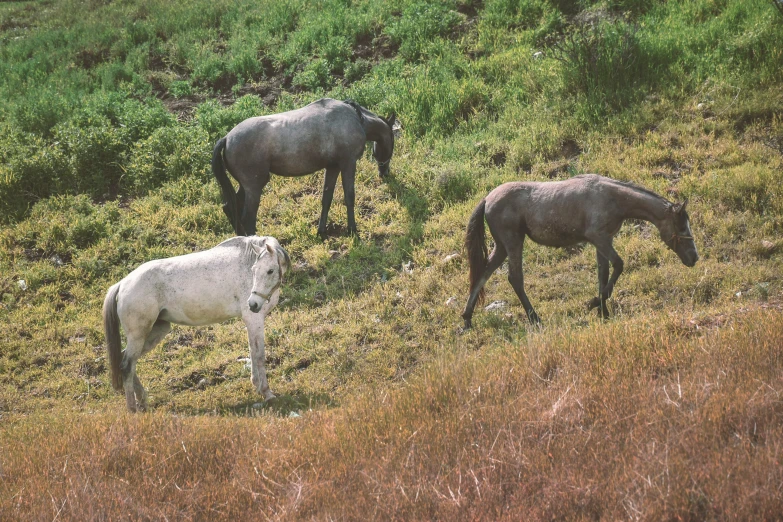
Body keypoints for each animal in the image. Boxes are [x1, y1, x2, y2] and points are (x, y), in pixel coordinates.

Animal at [101, 236, 290, 410]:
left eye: (270, 271)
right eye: (254, 270)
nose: (253, 304)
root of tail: (122, 284)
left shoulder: (252, 322)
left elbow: (252, 352)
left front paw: (257, 386)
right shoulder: (254, 319)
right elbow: (259, 356)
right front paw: (267, 392)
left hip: (155, 332)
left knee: (128, 362)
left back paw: (142, 400)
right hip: (139, 335)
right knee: (126, 366)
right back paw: (133, 409)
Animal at [213, 96, 396, 237]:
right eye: (392, 142)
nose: (384, 172)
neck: (355, 118)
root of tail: (227, 138)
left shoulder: (333, 167)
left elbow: (326, 198)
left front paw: (321, 231)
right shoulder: (348, 164)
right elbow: (349, 196)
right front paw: (352, 230)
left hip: (247, 186)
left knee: (231, 208)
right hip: (254, 188)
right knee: (247, 219)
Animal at [460, 174, 700, 324]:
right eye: (681, 226)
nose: (694, 257)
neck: (612, 198)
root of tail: (487, 199)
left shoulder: (603, 242)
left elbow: (603, 274)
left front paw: (603, 311)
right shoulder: (599, 238)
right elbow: (618, 265)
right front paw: (594, 304)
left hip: (501, 247)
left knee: (482, 274)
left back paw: (467, 318)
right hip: (513, 243)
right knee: (515, 278)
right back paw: (535, 318)